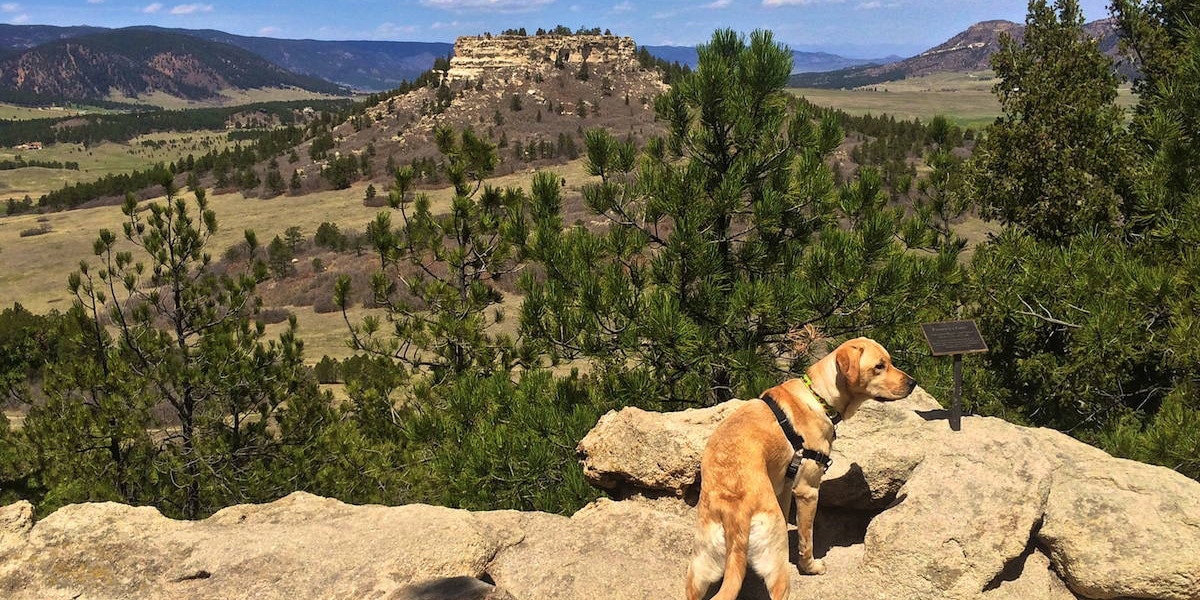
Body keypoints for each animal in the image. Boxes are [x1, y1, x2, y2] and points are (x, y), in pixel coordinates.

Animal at [686, 338, 916, 600]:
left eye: (889, 362)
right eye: (879, 366)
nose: (913, 383)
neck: (817, 397)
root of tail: (735, 513)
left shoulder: (785, 487)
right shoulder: (808, 491)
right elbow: (807, 539)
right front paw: (811, 566)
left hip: (699, 569)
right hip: (776, 566)